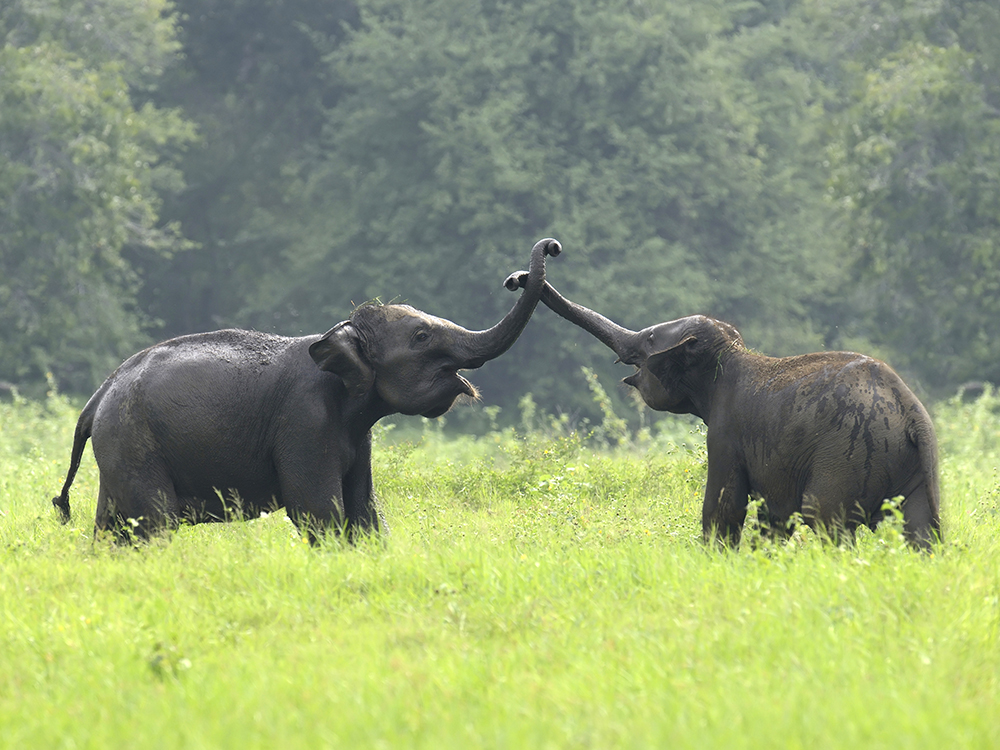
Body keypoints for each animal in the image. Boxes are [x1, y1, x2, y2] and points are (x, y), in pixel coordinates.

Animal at [51, 238, 562, 543]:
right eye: (421, 337)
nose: (547, 250)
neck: (336, 336)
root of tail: (97, 399)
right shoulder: (304, 421)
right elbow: (320, 512)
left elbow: (365, 510)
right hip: (135, 442)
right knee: (152, 523)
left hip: (121, 447)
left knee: (113, 527)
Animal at [505, 271, 941, 549]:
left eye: (649, 339)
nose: (517, 277)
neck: (731, 355)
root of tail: (910, 412)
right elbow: (772, 517)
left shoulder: (726, 432)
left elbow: (724, 507)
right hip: (916, 466)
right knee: (922, 532)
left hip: (846, 457)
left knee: (826, 522)